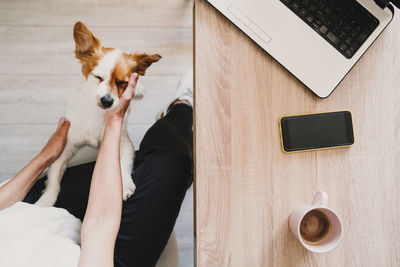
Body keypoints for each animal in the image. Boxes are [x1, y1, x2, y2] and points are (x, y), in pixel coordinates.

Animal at [34, 22, 161, 207]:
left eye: (122, 83)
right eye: (98, 77)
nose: (107, 101)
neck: (97, 114)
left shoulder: (124, 144)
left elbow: (123, 165)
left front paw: (124, 184)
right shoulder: (64, 149)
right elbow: (53, 182)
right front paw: (45, 202)